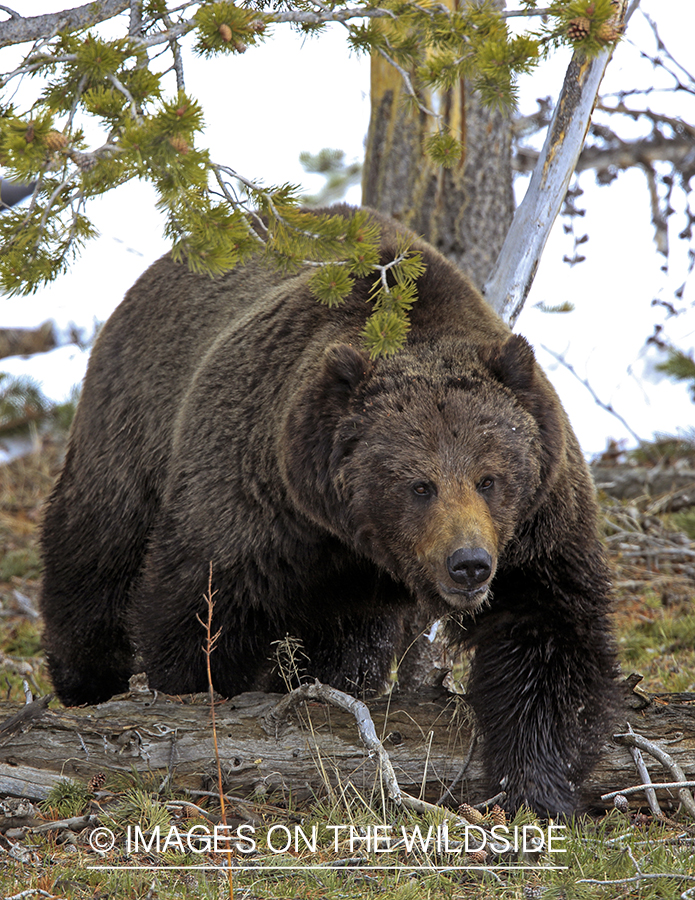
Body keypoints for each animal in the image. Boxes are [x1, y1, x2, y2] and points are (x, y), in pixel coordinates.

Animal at [40, 204, 616, 816]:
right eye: (419, 484)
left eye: (490, 478)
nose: (469, 564)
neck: (357, 540)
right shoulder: (256, 499)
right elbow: (198, 614)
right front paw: (197, 702)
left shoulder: (538, 524)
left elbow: (548, 632)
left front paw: (536, 787)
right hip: (133, 420)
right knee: (97, 551)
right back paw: (85, 683)